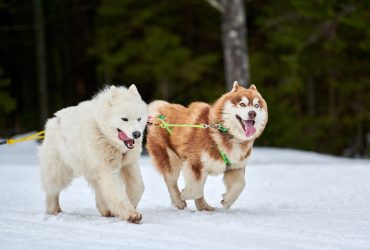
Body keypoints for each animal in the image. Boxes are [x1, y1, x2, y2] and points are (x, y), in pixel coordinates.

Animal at [38, 84, 146, 223]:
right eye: (124, 119)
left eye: (139, 119)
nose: (137, 134)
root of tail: (53, 120)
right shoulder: (108, 169)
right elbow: (117, 193)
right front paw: (130, 213)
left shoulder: (129, 164)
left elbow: (138, 186)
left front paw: (130, 204)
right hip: (59, 172)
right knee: (52, 190)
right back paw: (53, 210)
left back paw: (106, 210)